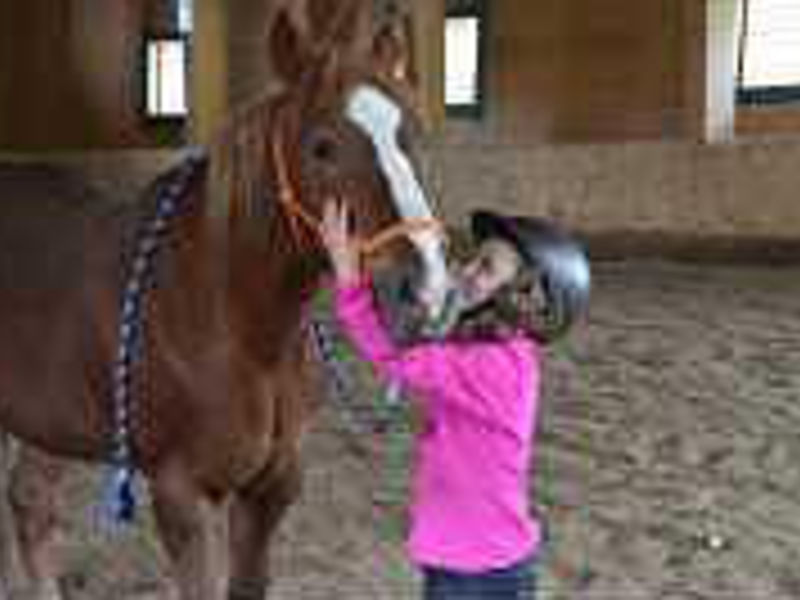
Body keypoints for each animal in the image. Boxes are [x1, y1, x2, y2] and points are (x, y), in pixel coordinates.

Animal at [0, 2, 446, 596]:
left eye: (409, 134)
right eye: (322, 146)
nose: (424, 285)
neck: (231, 321)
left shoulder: (272, 487)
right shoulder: (183, 496)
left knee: (29, 502)